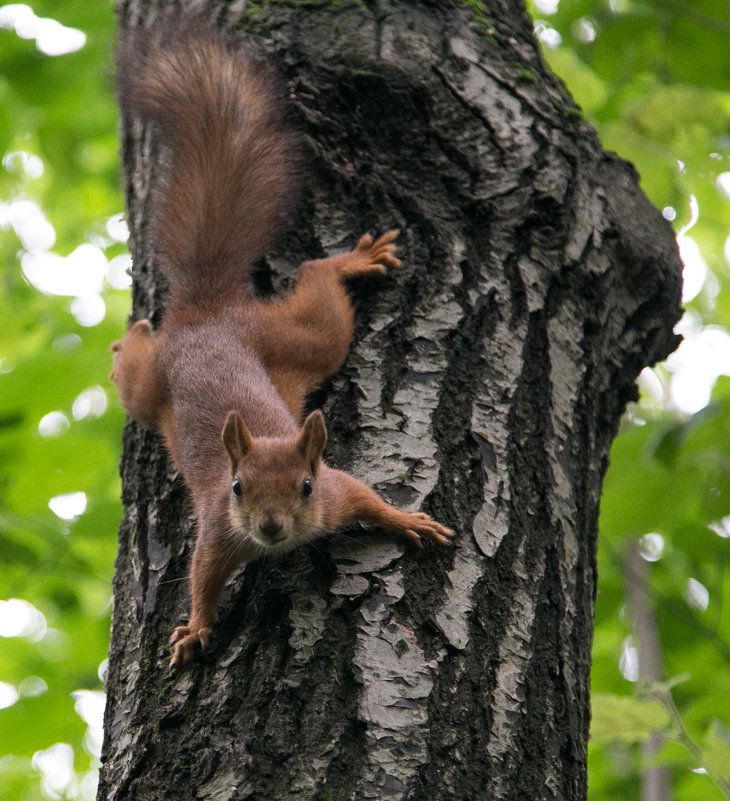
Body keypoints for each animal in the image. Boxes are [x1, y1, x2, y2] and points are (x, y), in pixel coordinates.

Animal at [111, 18, 452, 668]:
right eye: (238, 487)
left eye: (306, 486)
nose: (270, 528)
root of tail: (208, 315)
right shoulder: (219, 527)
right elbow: (202, 578)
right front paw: (196, 628)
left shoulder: (337, 492)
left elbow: (366, 499)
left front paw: (407, 521)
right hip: (176, 378)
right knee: (140, 370)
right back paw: (127, 342)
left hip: (301, 341)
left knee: (317, 277)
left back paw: (353, 260)